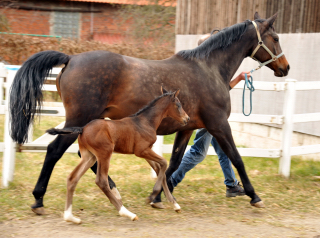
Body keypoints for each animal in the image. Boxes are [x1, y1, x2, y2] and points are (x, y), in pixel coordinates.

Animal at [46, 89, 189, 223]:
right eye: (178, 105)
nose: (187, 119)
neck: (146, 122)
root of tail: (82, 129)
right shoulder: (141, 151)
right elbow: (164, 163)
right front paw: (152, 196)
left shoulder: (147, 151)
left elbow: (160, 170)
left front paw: (174, 205)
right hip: (104, 153)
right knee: (101, 181)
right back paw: (127, 213)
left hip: (89, 156)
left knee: (72, 178)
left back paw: (70, 217)